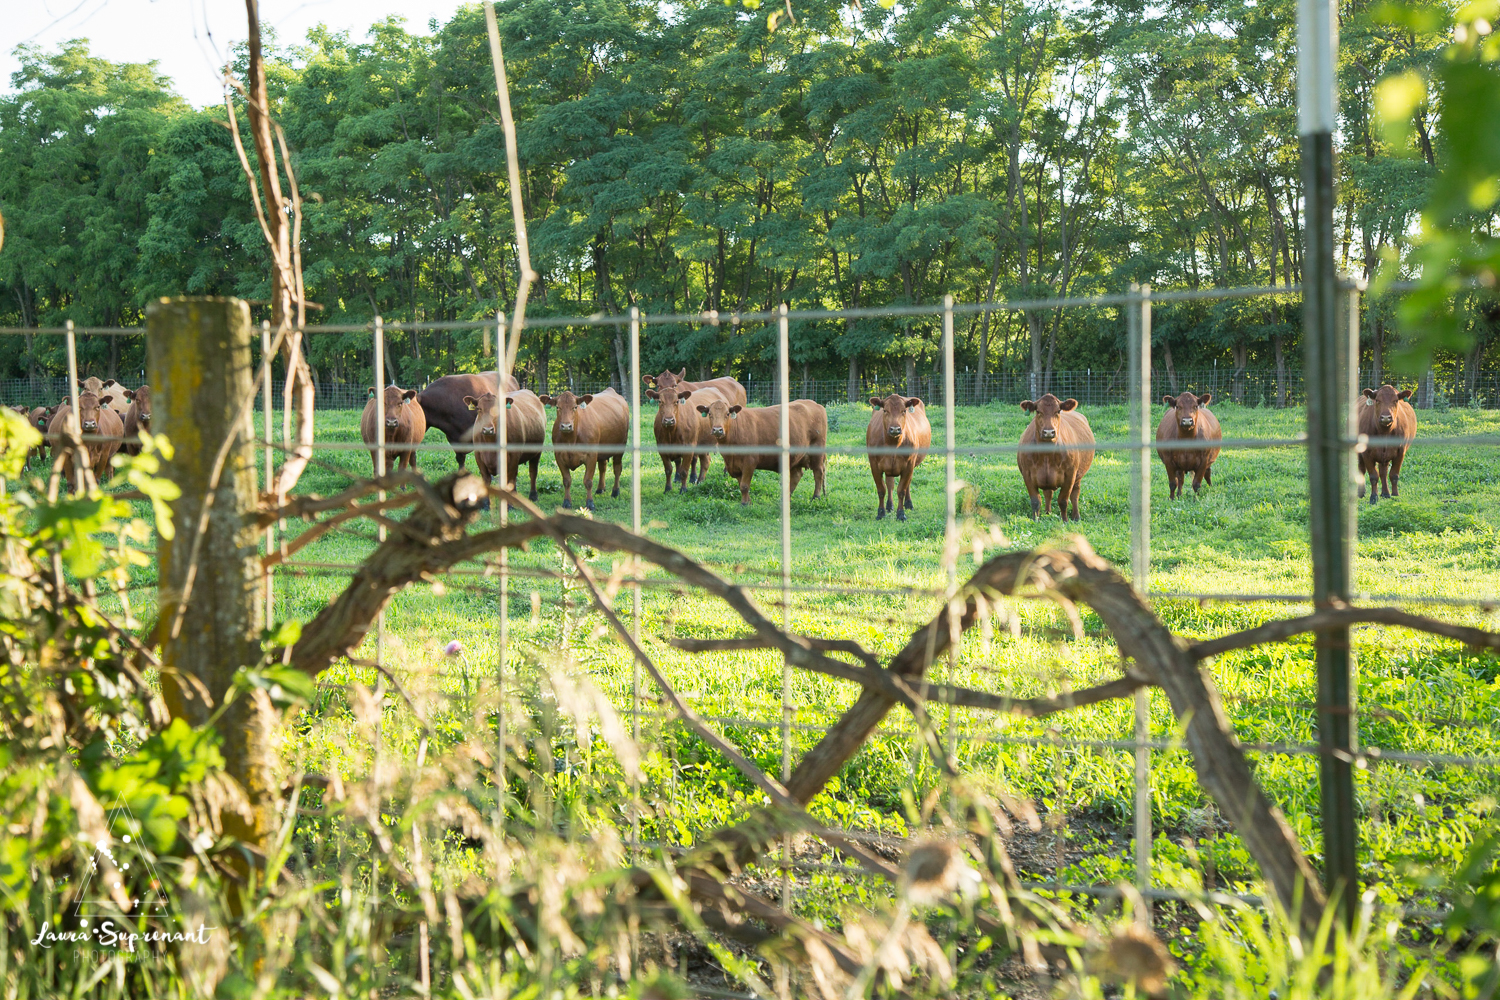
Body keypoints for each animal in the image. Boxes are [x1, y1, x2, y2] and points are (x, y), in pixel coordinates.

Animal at [693, 395, 828, 503]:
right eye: (710, 414)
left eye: (727, 414)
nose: (717, 430)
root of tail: (815, 404)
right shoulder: (734, 465)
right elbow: (741, 484)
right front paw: (748, 501)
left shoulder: (750, 462)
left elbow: (744, 485)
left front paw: (744, 504)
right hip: (796, 456)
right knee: (797, 475)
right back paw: (786, 498)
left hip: (817, 452)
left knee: (818, 473)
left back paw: (816, 497)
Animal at [864, 389, 930, 521]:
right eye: (885, 410)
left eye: (903, 411)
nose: (895, 429)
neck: (893, 445)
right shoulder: (874, 465)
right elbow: (881, 489)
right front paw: (881, 513)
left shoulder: (909, 465)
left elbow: (901, 490)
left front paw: (901, 514)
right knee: (890, 484)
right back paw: (889, 506)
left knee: (907, 484)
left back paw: (908, 504)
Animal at [1014, 395, 1098, 524]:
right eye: (1038, 411)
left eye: (1058, 411)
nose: (1049, 432)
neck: (1047, 455)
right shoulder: (1027, 474)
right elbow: (1035, 501)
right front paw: (1035, 520)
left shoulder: (1070, 474)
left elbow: (1063, 500)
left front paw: (1065, 521)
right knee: (1048, 493)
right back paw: (1048, 512)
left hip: (1078, 476)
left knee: (1075, 494)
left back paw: (1076, 516)